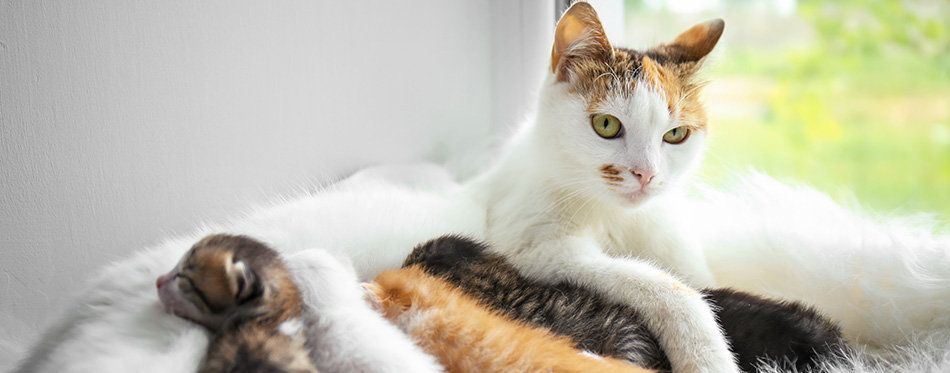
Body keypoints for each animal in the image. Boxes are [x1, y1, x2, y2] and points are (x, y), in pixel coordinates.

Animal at [466, 2, 736, 370]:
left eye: (676, 134)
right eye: (606, 124)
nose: (646, 174)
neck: (616, 215)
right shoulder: (528, 244)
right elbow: (661, 286)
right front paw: (707, 355)